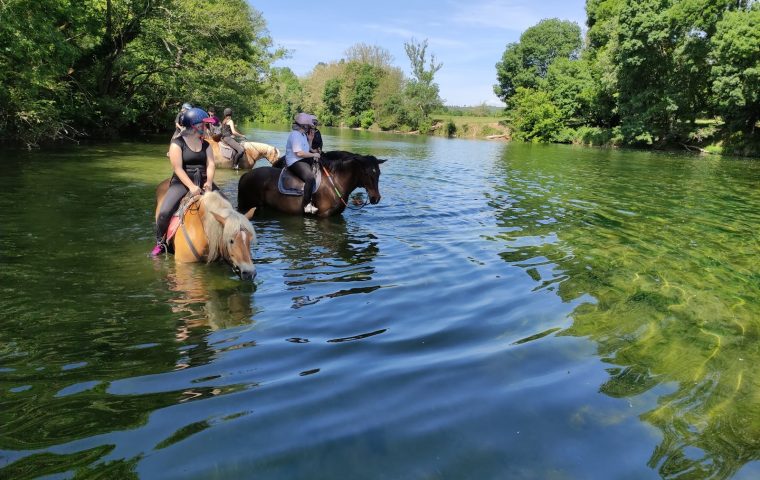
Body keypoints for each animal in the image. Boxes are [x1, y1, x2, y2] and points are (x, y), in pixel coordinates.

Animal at [236, 150, 386, 218]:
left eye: (378, 173)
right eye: (367, 173)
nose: (376, 198)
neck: (336, 183)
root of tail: (245, 176)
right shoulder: (324, 216)